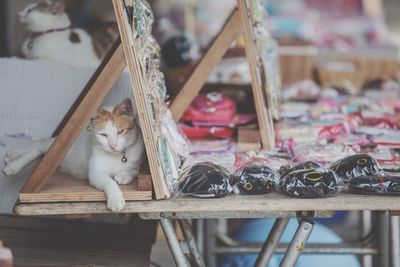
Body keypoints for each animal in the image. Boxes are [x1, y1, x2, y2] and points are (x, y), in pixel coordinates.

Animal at [2, 99, 145, 213]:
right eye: (103, 135)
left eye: (120, 132)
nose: (113, 146)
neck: (117, 156)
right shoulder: (95, 174)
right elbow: (109, 182)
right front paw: (115, 200)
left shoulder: (138, 158)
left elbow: (135, 170)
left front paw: (123, 175)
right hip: (58, 148)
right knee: (40, 145)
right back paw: (13, 165)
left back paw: (11, 156)